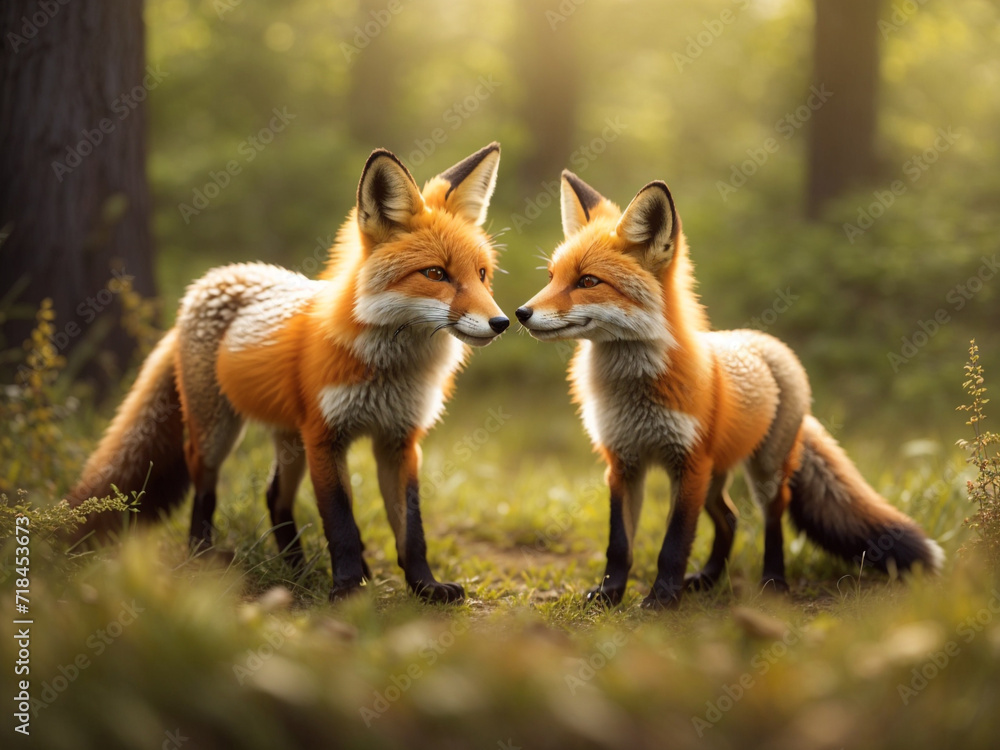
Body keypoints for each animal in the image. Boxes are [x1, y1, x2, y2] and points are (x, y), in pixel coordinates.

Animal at [67, 143, 510, 603]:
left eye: (481, 275)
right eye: (436, 274)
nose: (501, 322)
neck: (391, 371)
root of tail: (213, 278)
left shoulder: (399, 441)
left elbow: (412, 529)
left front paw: (425, 586)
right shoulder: (324, 435)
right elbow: (340, 523)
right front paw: (348, 588)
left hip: (289, 440)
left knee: (274, 496)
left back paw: (298, 568)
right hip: (218, 433)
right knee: (204, 486)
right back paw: (203, 556)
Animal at [516, 170, 943, 608]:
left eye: (587, 281)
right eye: (551, 278)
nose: (520, 313)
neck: (634, 394)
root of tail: (764, 341)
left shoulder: (688, 463)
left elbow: (673, 544)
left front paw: (661, 599)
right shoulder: (623, 463)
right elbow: (619, 543)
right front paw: (609, 594)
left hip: (763, 472)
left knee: (772, 519)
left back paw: (772, 580)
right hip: (714, 477)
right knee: (730, 518)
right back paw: (707, 578)